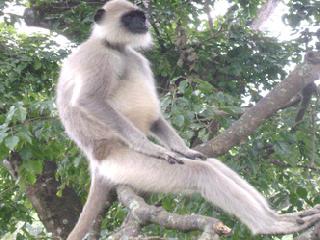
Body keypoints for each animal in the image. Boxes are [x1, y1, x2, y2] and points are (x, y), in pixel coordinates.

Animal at [56, 0, 320, 239]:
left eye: (141, 16)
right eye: (130, 18)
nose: (144, 24)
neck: (114, 46)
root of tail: (96, 161)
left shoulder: (132, 57)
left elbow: (157, 118)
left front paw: (183, 148)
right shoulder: (98, 56)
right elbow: (89, 100)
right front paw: (149, 147)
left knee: (210, 164)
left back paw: (280, 217)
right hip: (123, 162)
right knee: (202, 172)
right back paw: (268, 225)